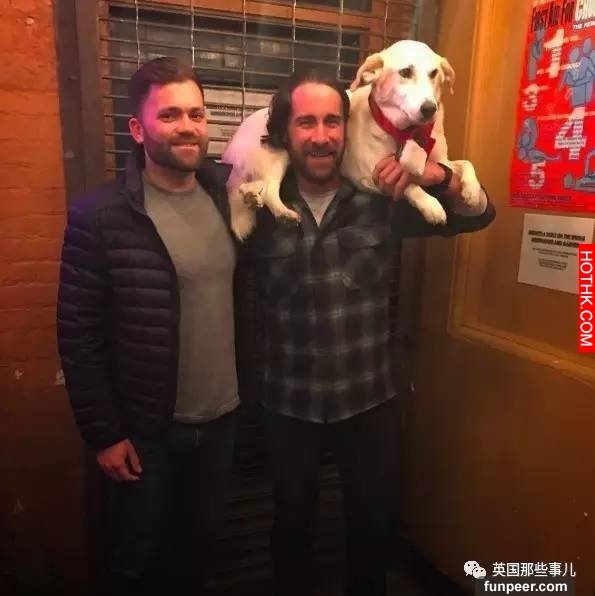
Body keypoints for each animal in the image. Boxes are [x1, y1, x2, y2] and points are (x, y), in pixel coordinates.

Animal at [221, 39, 482, 240]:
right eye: (405, 72)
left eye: (434, 73)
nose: (429, 109)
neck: (405, 131)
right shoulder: (370, 174)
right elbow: (409, 182)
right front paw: (431, 204)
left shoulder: (440, 161)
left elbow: (464, 164)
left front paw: (473, 191)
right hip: (277, 155)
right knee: (270, 190)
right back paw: (282, 213)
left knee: (253, 187)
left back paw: (251, 196)